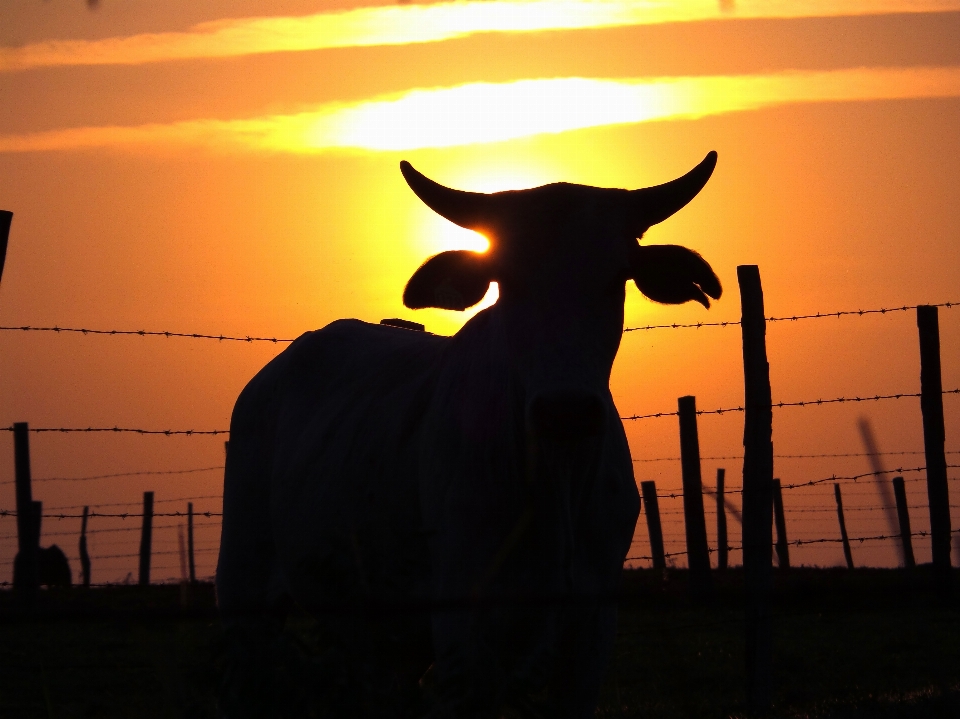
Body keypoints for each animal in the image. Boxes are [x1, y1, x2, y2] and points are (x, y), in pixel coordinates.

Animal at [216, 149, 720, 716]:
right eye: (506, 277)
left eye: (619, 275)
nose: (565, 410)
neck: (552, 482)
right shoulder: (464, 632)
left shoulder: (591, 631)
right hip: (243, 595)